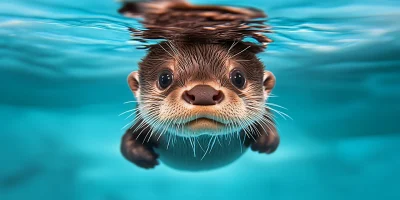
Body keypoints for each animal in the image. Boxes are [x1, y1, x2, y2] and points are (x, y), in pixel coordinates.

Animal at [118, 0, 278, 170]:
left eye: (238, 78)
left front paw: (267, 139)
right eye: (164, 78)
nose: (203, 93)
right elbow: (126, 141)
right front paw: (144, 157)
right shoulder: (141, 124)